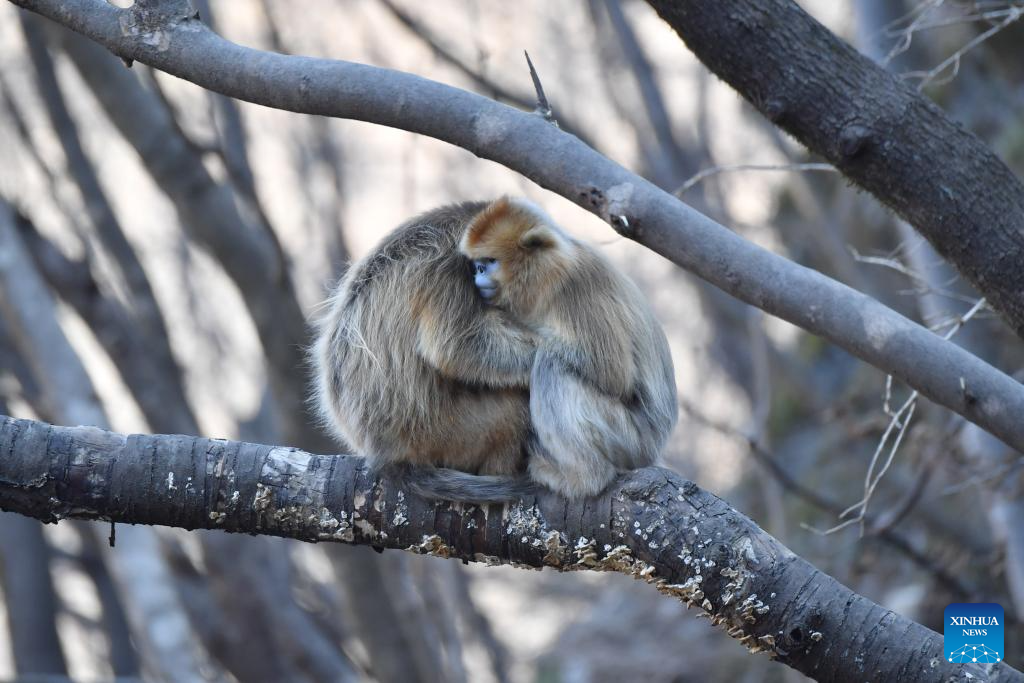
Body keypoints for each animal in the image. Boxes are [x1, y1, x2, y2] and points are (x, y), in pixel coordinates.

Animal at [459, 197, 678, 499]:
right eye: (478, 264)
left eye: (489, 262)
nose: (478, 273)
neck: (546, 276)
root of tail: (656, 444)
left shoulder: (576, 284)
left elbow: (614, 375)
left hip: (629, 440)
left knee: (551, 365)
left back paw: (585, 478)